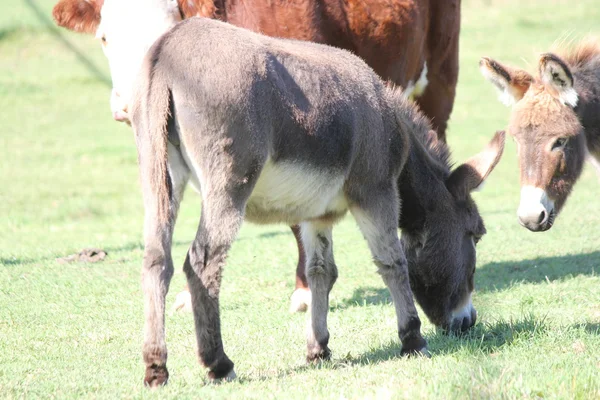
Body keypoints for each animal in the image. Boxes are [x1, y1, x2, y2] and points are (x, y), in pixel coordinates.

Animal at [132, 16, 428, 388]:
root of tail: (169, 46)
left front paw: (318, 349)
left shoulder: (317, 215)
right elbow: (392, 262)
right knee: (203, 263)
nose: (465, 323)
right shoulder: (376, 190)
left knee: (157, 261)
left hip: (158, 174)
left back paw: (156, 367)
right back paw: (219, 364)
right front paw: (412, 338)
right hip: (228, 186)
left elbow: (321, 271)